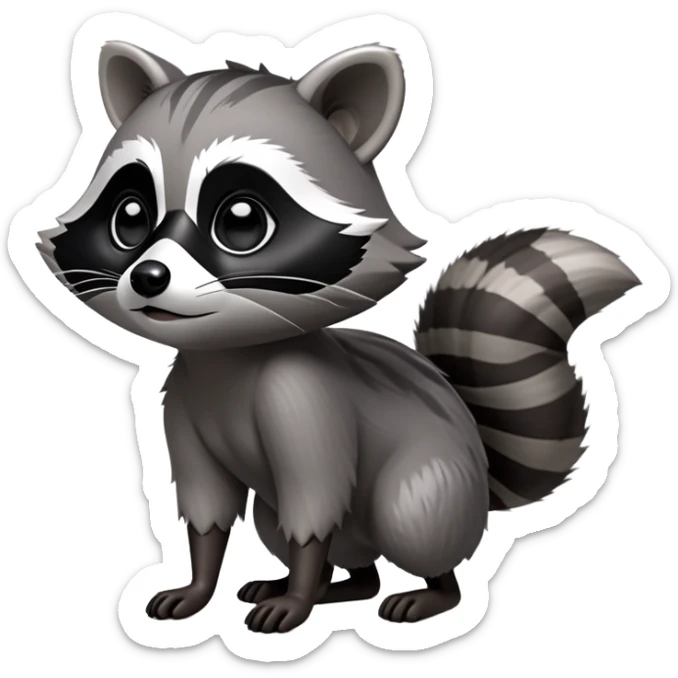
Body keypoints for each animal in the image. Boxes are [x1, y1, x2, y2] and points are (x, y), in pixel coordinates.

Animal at [37, 40, 641, 633]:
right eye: (129, 217)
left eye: (241, 221)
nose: (148, 277)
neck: (226, 357)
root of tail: (478, 460)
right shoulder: (180, 399)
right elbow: (206, 503)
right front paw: (202, 582)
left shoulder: (305, 397)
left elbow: (315, 497)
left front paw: (299, 594)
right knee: (299, 533)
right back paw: (340, 584)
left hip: (431, 481)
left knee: (408, 514)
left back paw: (428, 590)